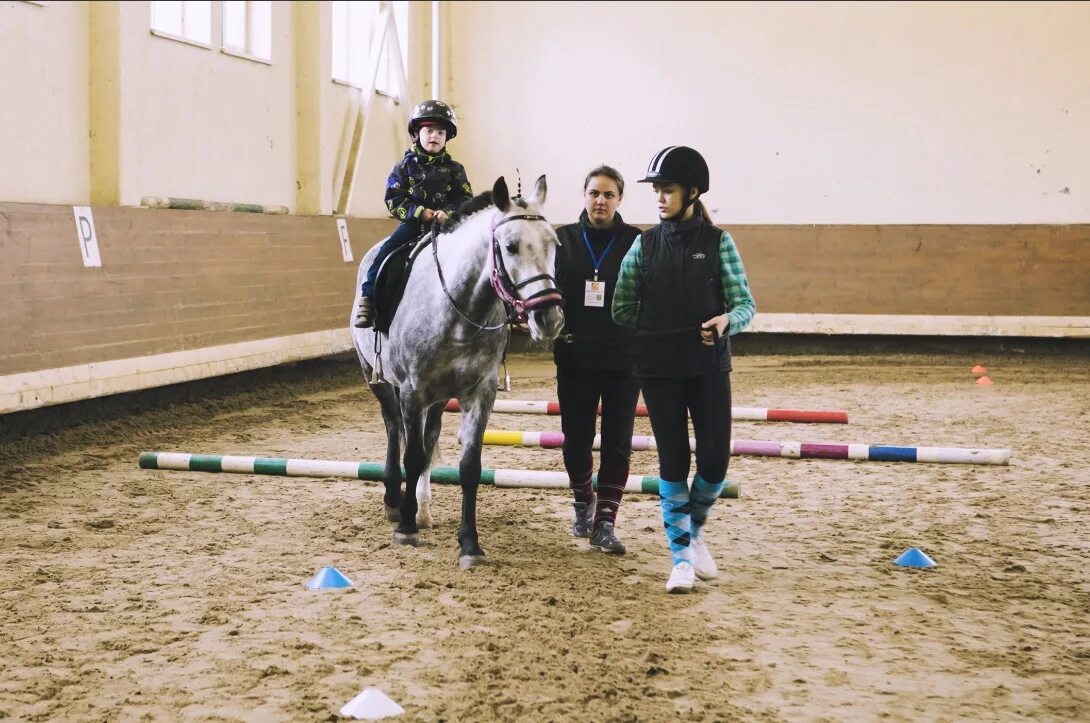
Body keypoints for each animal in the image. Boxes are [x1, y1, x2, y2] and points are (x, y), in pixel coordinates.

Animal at [353, 176, 566, 571]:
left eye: (554, 244)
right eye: (510, 246)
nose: (549, 318)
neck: (459, 308)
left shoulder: (480, 393)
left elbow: (468, 467)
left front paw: (469, 544)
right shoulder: (412, 390)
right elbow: (412, 456)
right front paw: (405, 529)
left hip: (438, 398)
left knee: (429, 436)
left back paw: (421, 508)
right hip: (377, 377)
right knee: (393, 428)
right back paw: (395, 502)